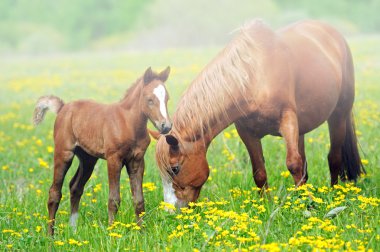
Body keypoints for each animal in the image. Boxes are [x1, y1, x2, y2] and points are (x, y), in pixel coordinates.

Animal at [32, 66, 172, 234]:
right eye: (149, 99)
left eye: (167, 99)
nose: (166, 126)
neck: (128, 123)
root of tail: (63, 108)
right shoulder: (114, 159)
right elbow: (114, 199)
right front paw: (112, 231)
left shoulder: (137, 160)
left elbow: (139, 200)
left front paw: (142, 232)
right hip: (64, 153)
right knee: (54, 192)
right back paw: (50, 235)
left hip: (88, 159)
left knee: (75, 187)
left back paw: (73, 230)